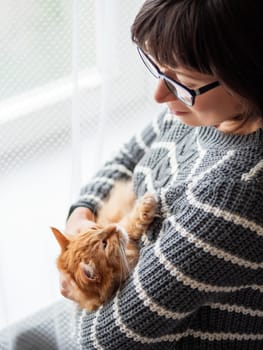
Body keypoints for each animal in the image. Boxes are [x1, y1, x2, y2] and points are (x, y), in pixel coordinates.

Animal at [51, 180, 157, 312]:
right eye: (104, 244)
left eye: (94, 228)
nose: (114, 227)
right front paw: (147, 203)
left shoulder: (122, 224)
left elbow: (130, 223)